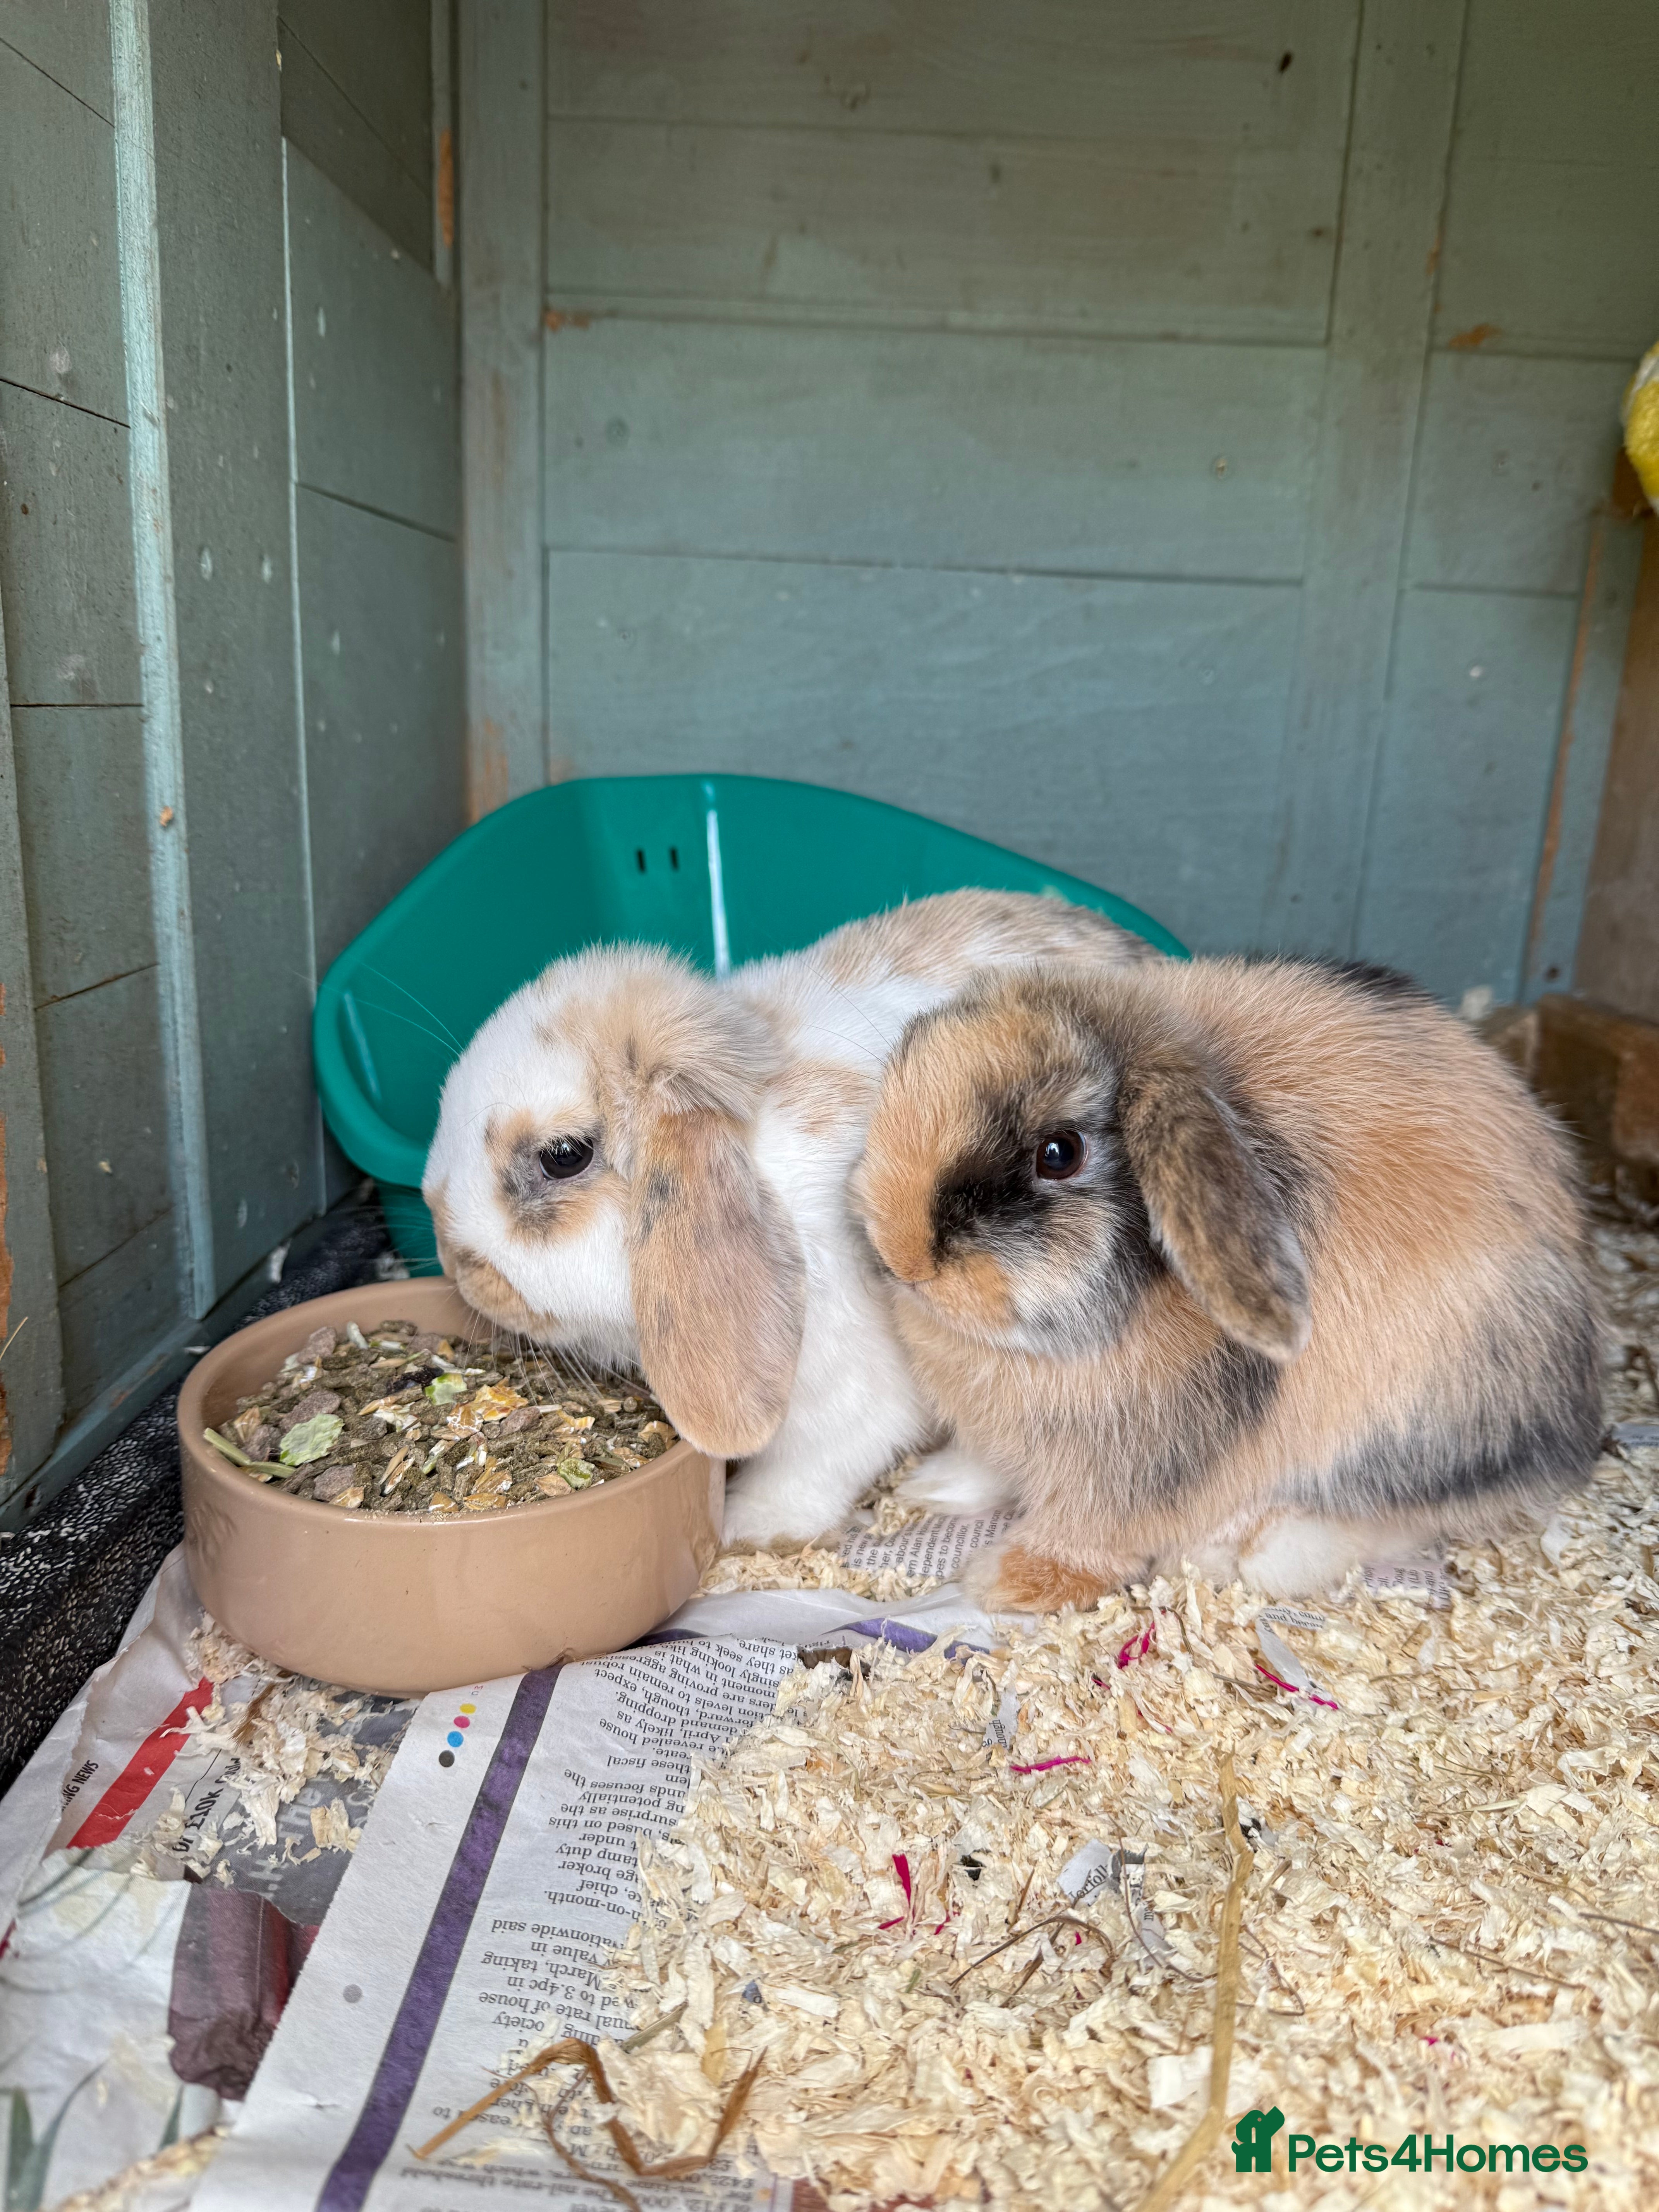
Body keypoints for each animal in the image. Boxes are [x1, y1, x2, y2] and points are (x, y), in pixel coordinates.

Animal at [421, 890, 1155, 1547]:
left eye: (563, 1156)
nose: (458, 1264)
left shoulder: (849, 1390)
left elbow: (819, 1462)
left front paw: (750, 1526)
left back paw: (939, 1487)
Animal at [853, 955, 1604, 1608]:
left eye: (1058, 1153)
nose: (901, 1258)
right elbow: (985, 1466)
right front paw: (934, 1489)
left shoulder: (1136, 1473)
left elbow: (1085, 1534)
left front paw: (1007, 1583)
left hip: (1402, 1439)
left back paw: (1246, 1551)